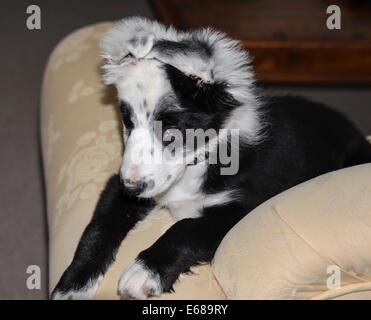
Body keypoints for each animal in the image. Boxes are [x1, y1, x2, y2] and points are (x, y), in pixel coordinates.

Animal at [51, 16, 371, 298]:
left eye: (172, 126)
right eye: (127, 121)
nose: (131, 188)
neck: (200, 160)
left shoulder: (247, 208)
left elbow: (186, 228)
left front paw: (144, 272)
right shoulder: (116, 186)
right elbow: (98, 227)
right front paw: (73, 283)